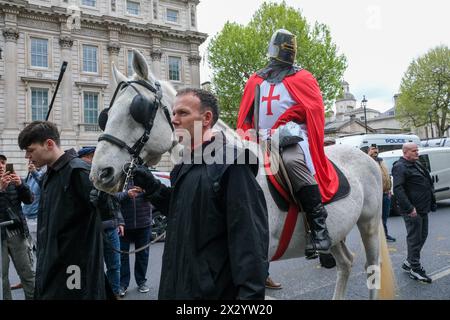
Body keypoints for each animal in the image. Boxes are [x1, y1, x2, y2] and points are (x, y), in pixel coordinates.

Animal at [90, 50, 394, 300]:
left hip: (368, 222)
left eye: (137, 110)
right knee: (346, 263)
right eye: (105, 114)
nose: (100, 174)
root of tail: (366, 158)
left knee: (372, 269)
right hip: (338, 230)